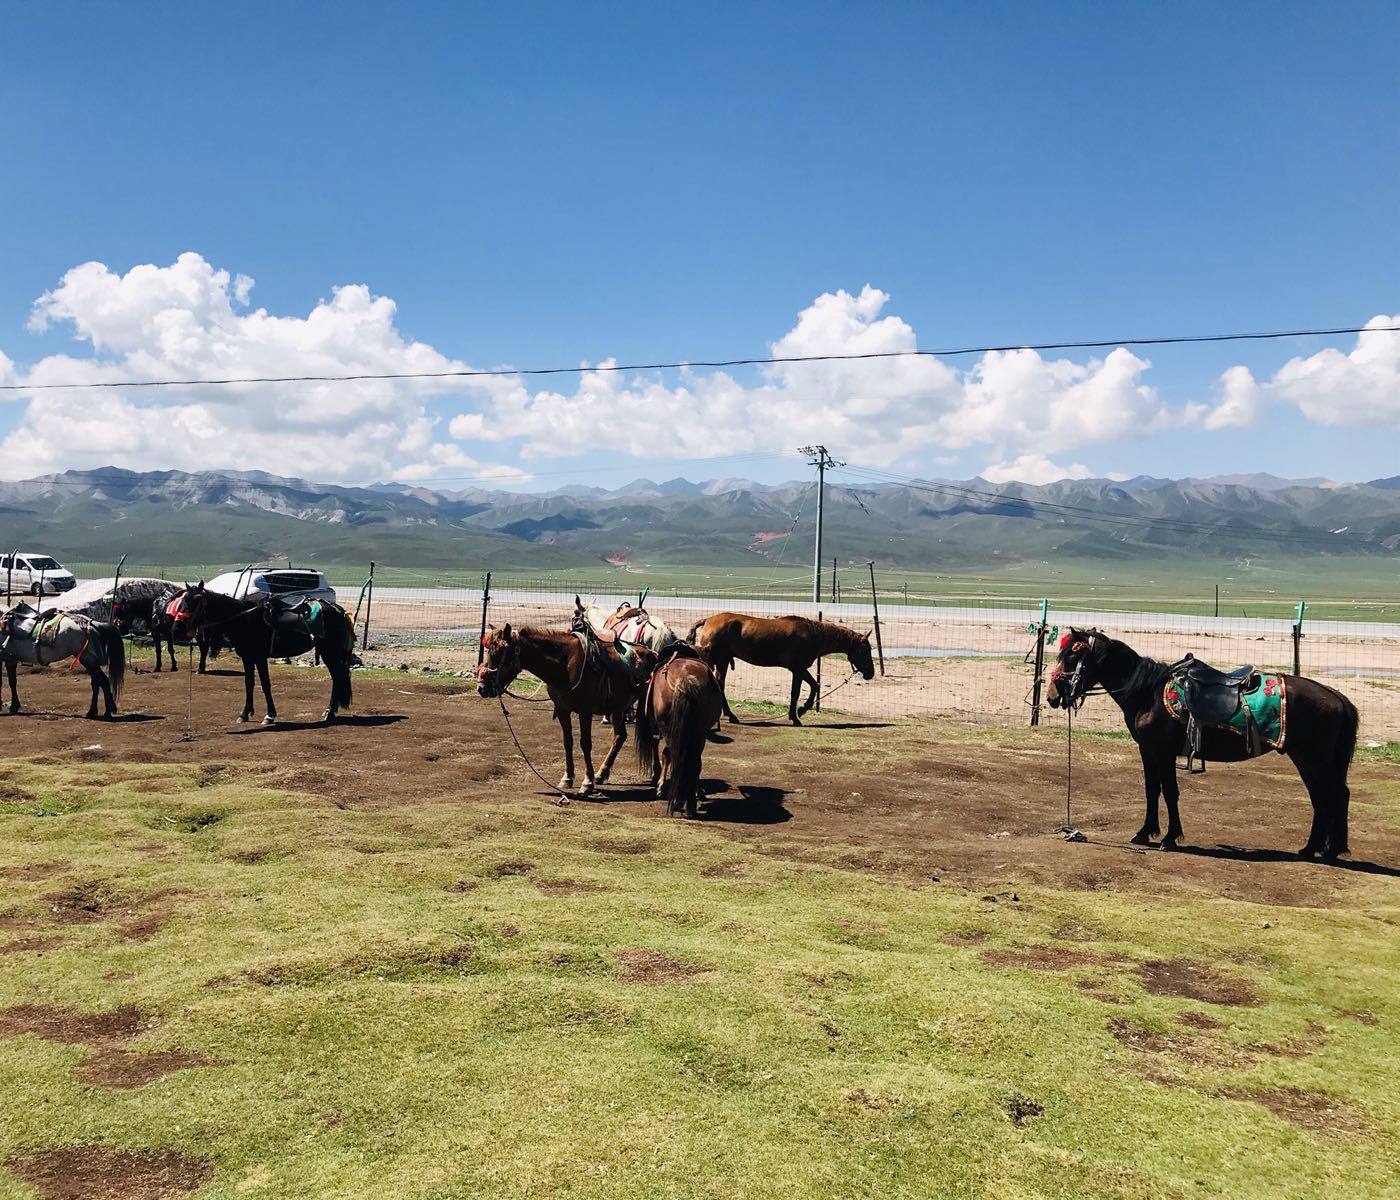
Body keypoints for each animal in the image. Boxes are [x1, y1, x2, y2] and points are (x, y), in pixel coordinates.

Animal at [182, 579, 355, 722]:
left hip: (329, 652)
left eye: (196, 601)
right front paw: (245, 714)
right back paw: (331, 711)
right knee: (338, 677)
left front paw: (269, 715)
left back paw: (329, 712)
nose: (181, 623)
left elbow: (265, 684)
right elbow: (249, 683)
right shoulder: (247, 657)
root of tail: (339, 611)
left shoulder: (259, 657)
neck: (244, 620)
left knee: (337, 677)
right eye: (183, 599)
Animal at [478, 618, 658, 795]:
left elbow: (585, 743)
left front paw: (587, 782)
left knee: (653, 737)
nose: (482, 688)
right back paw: (602, 773)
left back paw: (655, 776)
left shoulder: (585, 711)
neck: (564, 664)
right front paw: (567, 778)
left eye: (500, 653)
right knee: (620, 736)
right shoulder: (562, 709)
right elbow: (567, 742)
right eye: (488, 651)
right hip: (618, 707)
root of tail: (653, 654)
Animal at [635, 655, 722, 812]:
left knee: (674, 756)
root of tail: (685, 678)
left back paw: (676, 798)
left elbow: (662, 753)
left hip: (668, 729)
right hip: (699, 732)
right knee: (693, 759)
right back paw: (689, 802)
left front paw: (659, 783)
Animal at [688, 613, 873, 728]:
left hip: (723, 661)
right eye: (865, 650)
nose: (871, 673)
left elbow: (814, 686)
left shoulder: (799, 669)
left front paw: (799, 712)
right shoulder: (798, 669)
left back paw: (730, 715)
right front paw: (798, 714)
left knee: (720, 684)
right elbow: (797, 692)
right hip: (719, 661)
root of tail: (708, 620)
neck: (812, 635)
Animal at [1052, 621, 1355, 856]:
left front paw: (1169, 838)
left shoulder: (1162, 752)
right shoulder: (1147, 751)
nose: (1052, 696)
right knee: (1320, 796)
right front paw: (1145, 833)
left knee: (1335, 794)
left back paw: (1331, 850)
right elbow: (1152, 790)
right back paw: (1312, 847)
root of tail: (1336, 697)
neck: (1147, 693)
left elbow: (1169, 792)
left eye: (1071, 657)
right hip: (1304, 758)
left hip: (1313, 758)